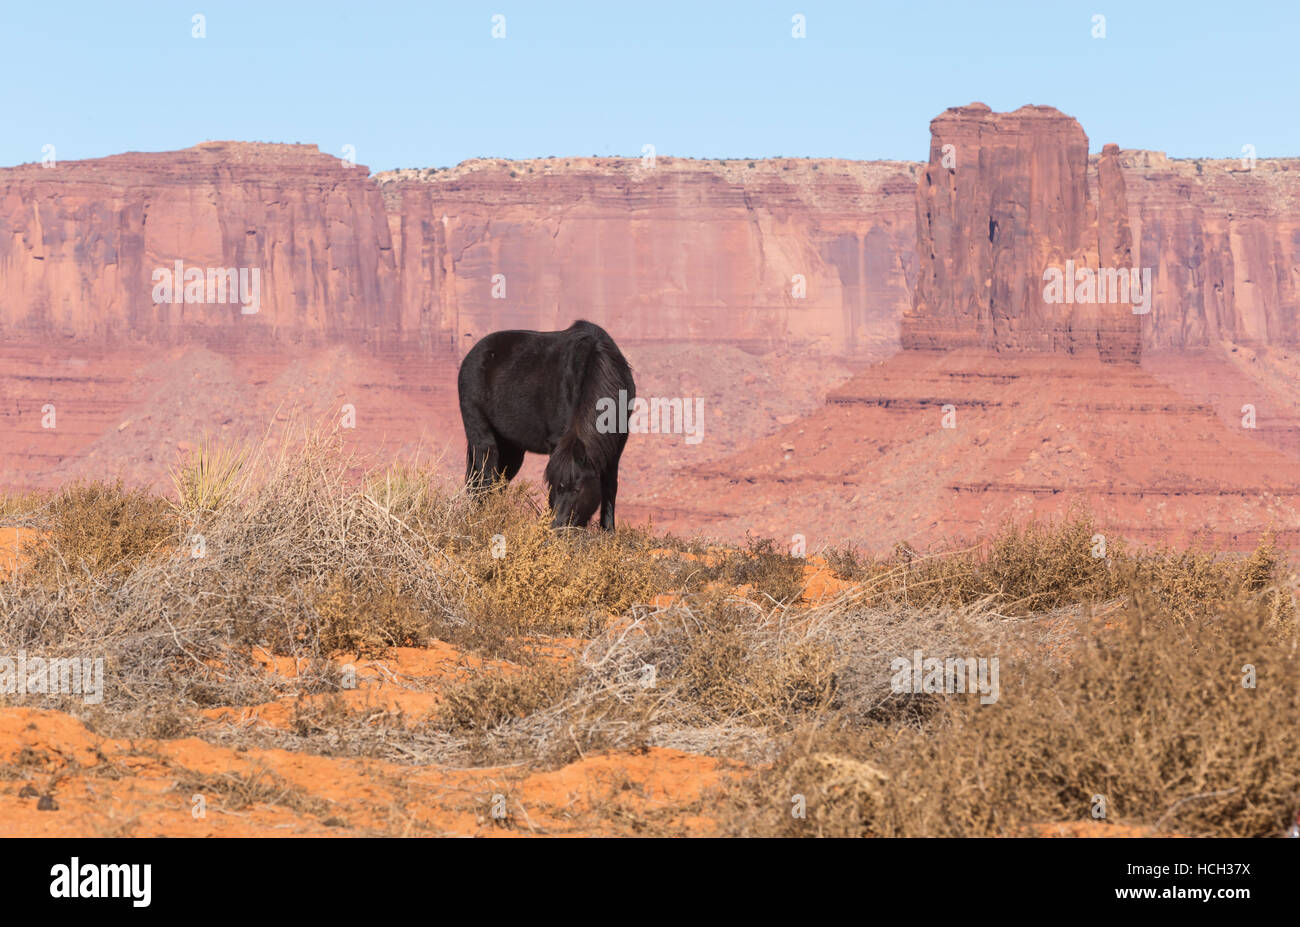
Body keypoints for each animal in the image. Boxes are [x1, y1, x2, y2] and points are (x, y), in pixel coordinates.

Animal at [460, 322, 637, 527]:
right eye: (556, 486)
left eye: (577, 488)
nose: (558, 526)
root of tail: (472, 355)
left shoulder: (614, 450)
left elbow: (610, 487)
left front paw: (608, 529)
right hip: (483, 440)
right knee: (486, 480)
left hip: (511, 449)